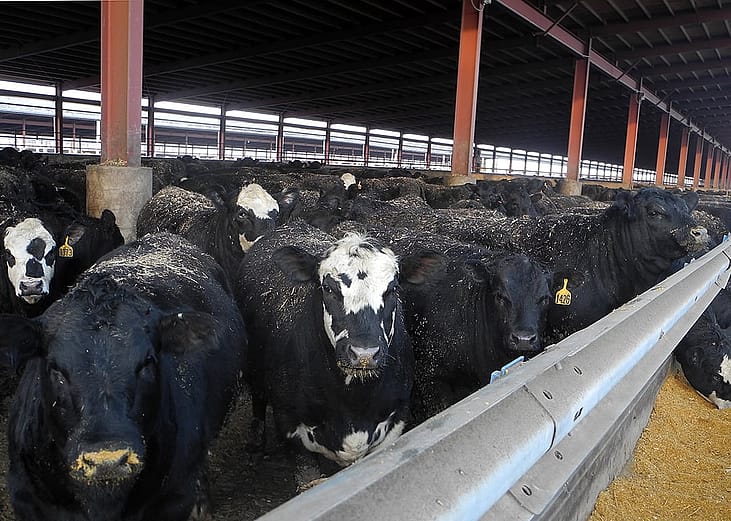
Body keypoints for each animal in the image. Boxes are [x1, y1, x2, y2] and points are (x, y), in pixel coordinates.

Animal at [234, 221, 419, 474]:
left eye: (392, 289)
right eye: (328, 288)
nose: (364, 354)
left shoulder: (397, 417)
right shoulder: (289, 424)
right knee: (258, 400)